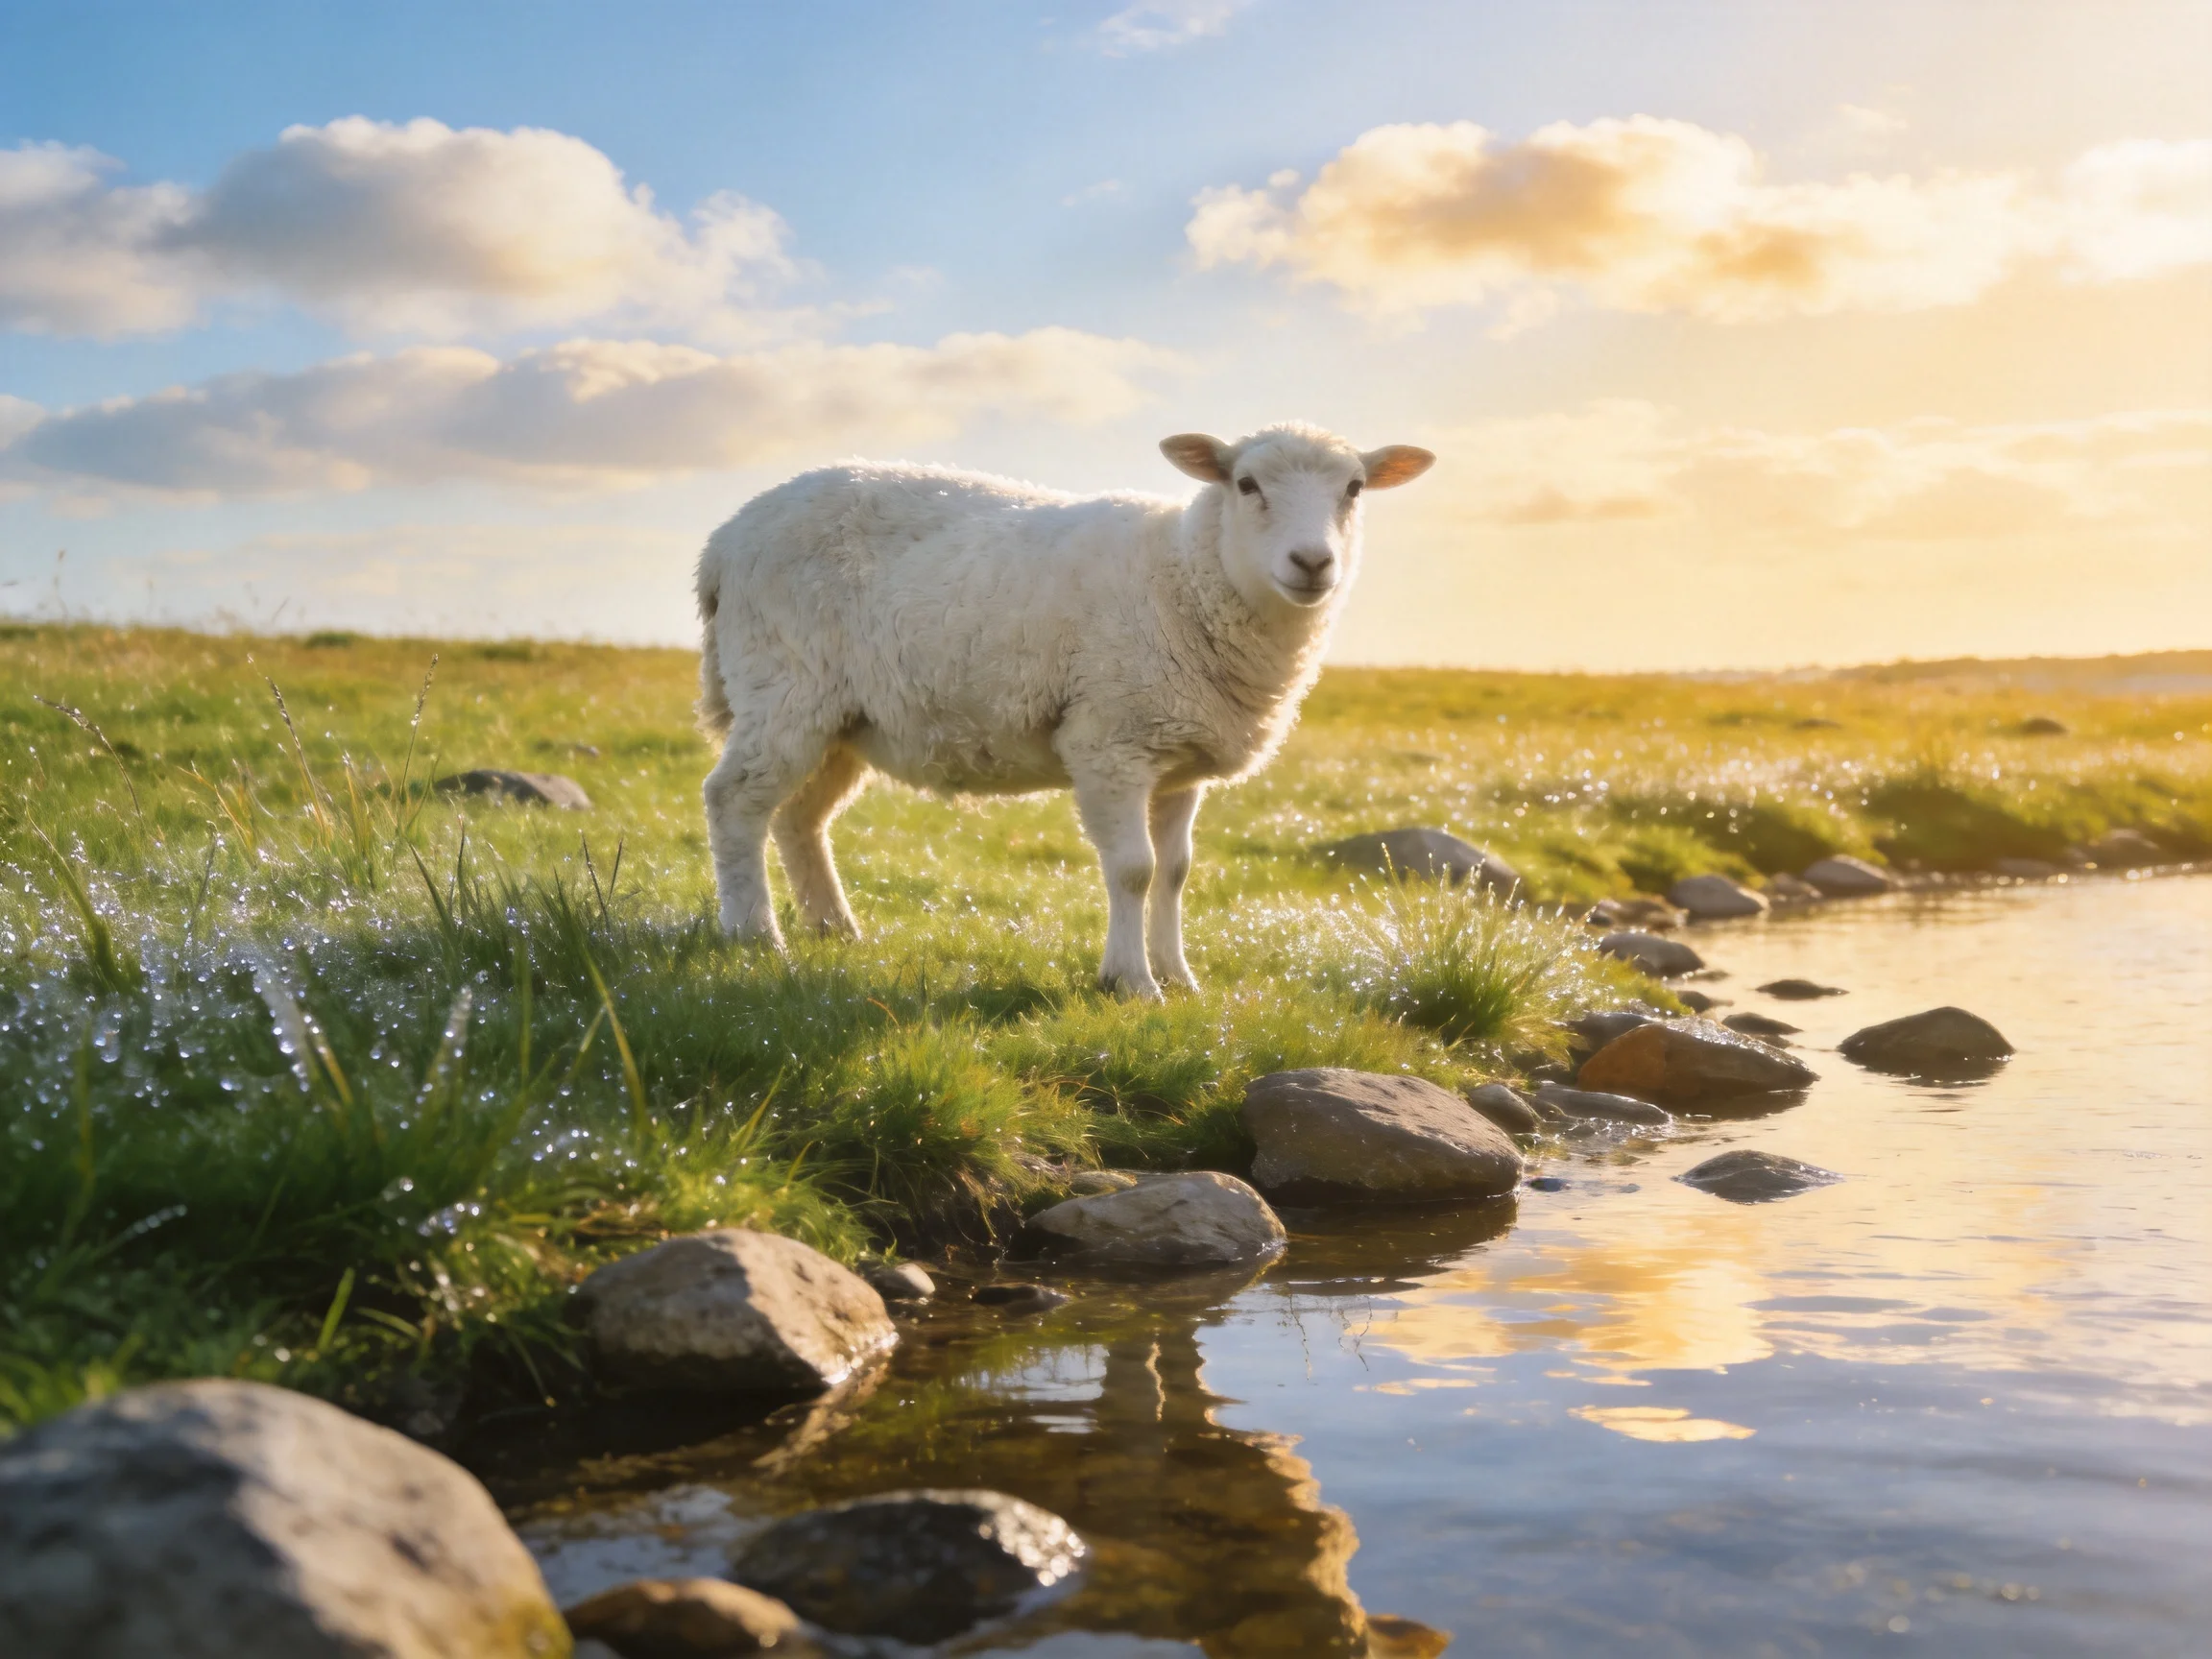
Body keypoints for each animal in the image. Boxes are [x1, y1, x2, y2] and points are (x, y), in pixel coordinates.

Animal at [694, 422, 1435, 998]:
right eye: (1247, 484)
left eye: (1354, 489)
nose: (1312, 562)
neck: (1186, 576)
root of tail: (723, 541)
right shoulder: (1110, 741)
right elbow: (1134, 869)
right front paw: (1131, 983)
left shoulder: (1181, 759)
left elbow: (1175, 873)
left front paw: (1180, 978)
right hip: (785, 683)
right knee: (734, 800)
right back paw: (755, 936)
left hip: (845, 719)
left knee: (799, 818)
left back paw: (835, 931)